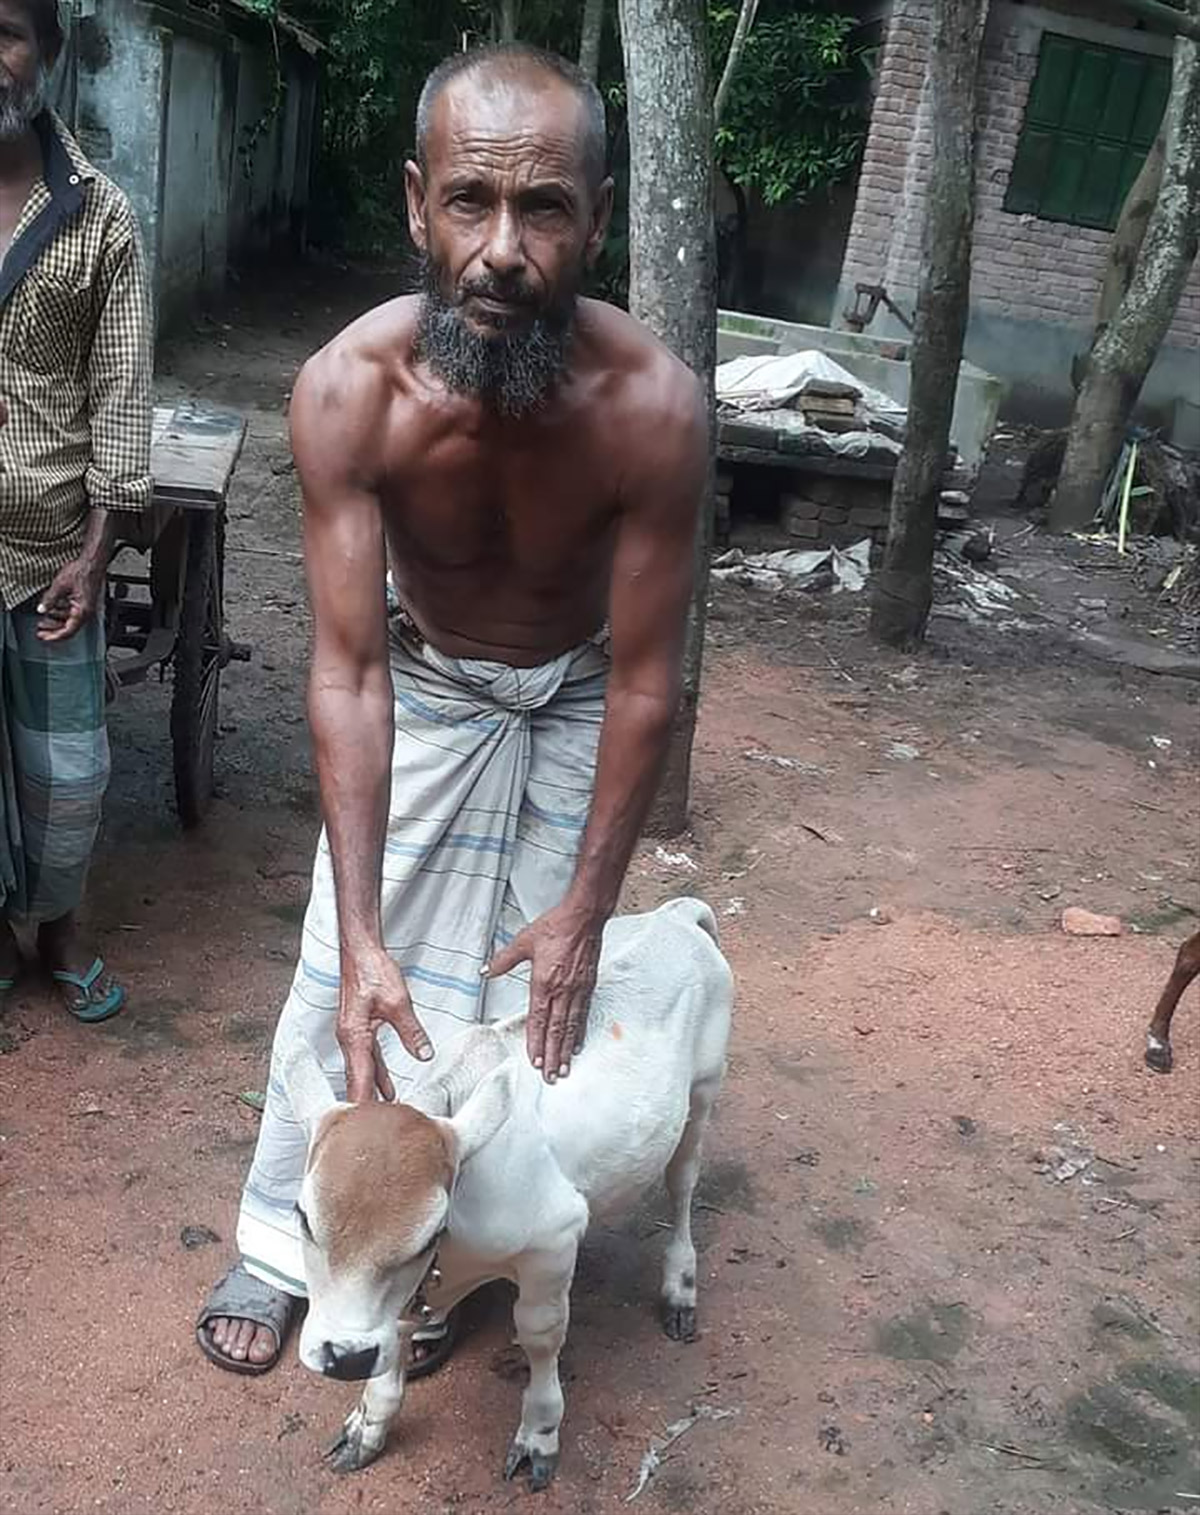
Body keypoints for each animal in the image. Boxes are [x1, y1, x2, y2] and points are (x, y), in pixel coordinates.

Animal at [279, 897, 734, 1491]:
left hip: (702, 1093)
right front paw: (369, 1422)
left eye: (432, 1231)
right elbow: (396, 1332)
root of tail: (677, 915)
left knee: (682, 1187)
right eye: (304, 1217)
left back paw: (680, 1287)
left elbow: (542, 1333)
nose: (346, 1356)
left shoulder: (553, 1239)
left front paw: (539, 1433)